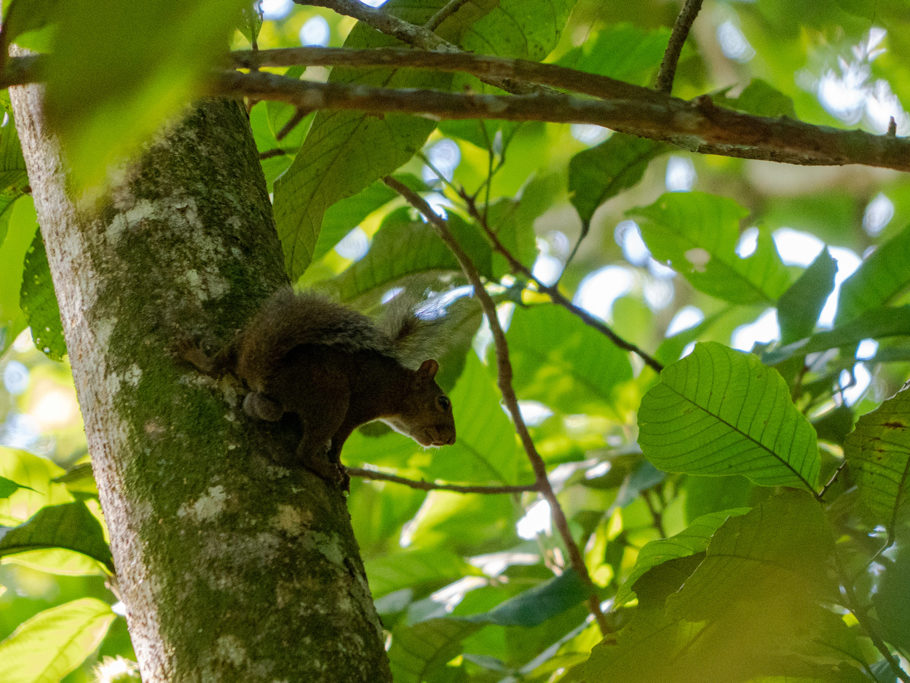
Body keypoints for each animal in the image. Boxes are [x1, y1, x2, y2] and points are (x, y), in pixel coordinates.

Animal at [181, 287, 456, 487]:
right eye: (443, 402)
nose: (451, 440)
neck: (398, 387)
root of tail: (267, 374)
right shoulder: (359, 407)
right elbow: (339, 442)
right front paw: (338, 464)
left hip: (242, 342)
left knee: (228, 371)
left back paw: (197, 358)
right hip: (330, 398)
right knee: (303, 451)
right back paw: (327, 471)